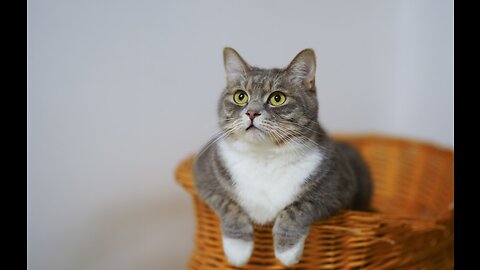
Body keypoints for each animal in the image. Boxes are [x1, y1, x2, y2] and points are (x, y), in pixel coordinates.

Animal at [193, 47, 374, 266]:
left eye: (277, 98)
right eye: (240, 96)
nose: (251, 112)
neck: (264, 157)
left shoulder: (336, 187)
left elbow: (299, 207)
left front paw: (287, 250)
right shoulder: (205, 174)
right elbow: (228, 204)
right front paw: (238, 249)